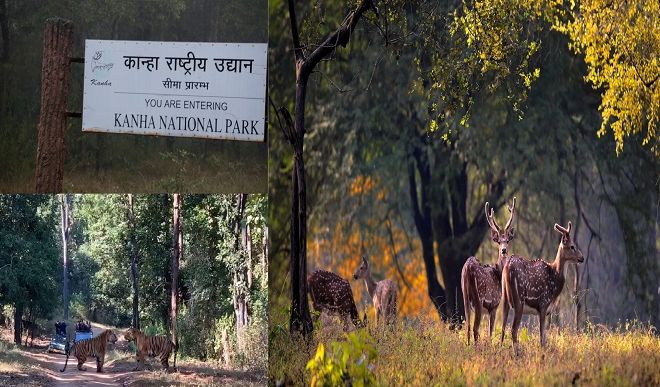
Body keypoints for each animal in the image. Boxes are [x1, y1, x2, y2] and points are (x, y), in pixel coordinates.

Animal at [458, 199, 516, 344]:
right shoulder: (493, 305)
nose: (504, 250)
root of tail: (467, 268)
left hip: (464, 296)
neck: (498, 273)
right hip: (479, 298)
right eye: (499, 241)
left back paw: (468, 345)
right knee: (475, 328)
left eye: (507, 240)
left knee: (467, 326)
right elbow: (490, 332)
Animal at [500, 221, 584, 354]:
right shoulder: (543, 304)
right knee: (513, 330)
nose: (582, 258)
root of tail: (507, 267)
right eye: (572, 246)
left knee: (502, 328)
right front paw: (542, 353)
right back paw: (517, 354)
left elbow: (544, 336)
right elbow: (542, 337)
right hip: (519, 300)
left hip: (504, 298)